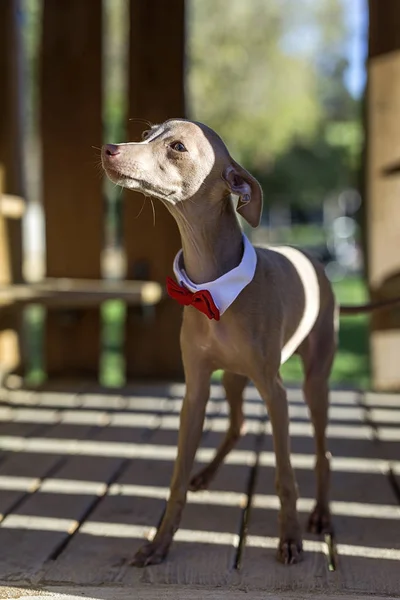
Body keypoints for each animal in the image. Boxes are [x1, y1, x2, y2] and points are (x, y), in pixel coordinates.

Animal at [102, 117, 400, 568]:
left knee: (323, 454)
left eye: (177, 146)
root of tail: (318, 265)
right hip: (232, 378)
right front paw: (160, 542)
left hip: (313, 383)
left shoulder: (276, 393)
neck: (208, 285)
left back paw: (322, 515)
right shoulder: (195, 391)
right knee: (239, 424)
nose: (109, 149)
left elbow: (285, 478)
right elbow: (176, 479)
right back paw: (206, 474)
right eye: (147, 133)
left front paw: (290, 538)